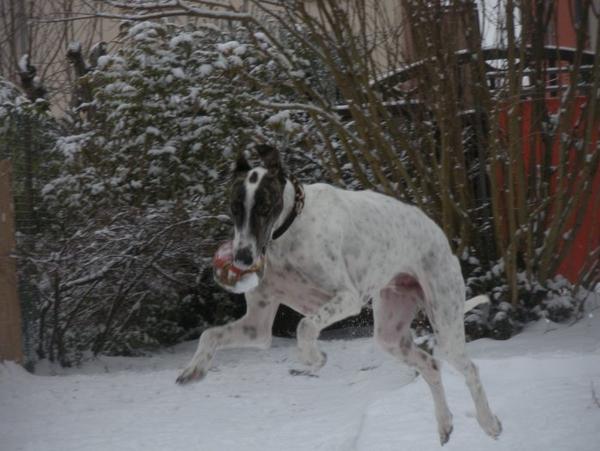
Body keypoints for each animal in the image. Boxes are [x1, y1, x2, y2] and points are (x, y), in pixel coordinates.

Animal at [177, 146, 502, 444]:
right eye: (234, 207)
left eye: (264, 207)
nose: (243, 259)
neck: (289, 230)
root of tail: (442, 237)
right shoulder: (257, 325)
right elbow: (210, 334)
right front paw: (194, 370)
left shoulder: (348, 298)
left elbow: (304, 325)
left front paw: (314, 357)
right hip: (390, 332)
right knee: (431, 365)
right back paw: (445, 423)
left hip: (445, 321)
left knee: (470, 368)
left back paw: (490, 422)